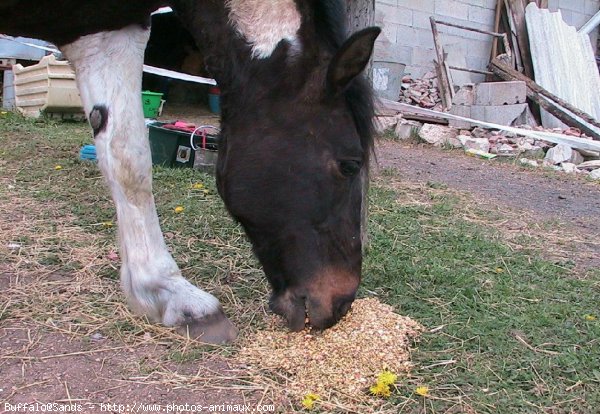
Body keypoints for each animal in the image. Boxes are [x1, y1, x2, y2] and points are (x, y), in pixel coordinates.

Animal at [1, 0, 380, 342]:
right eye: (350, 165)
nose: (341, 303)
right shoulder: (101, 28)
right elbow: (130, 160)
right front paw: (174, 295)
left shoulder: (100, 30)